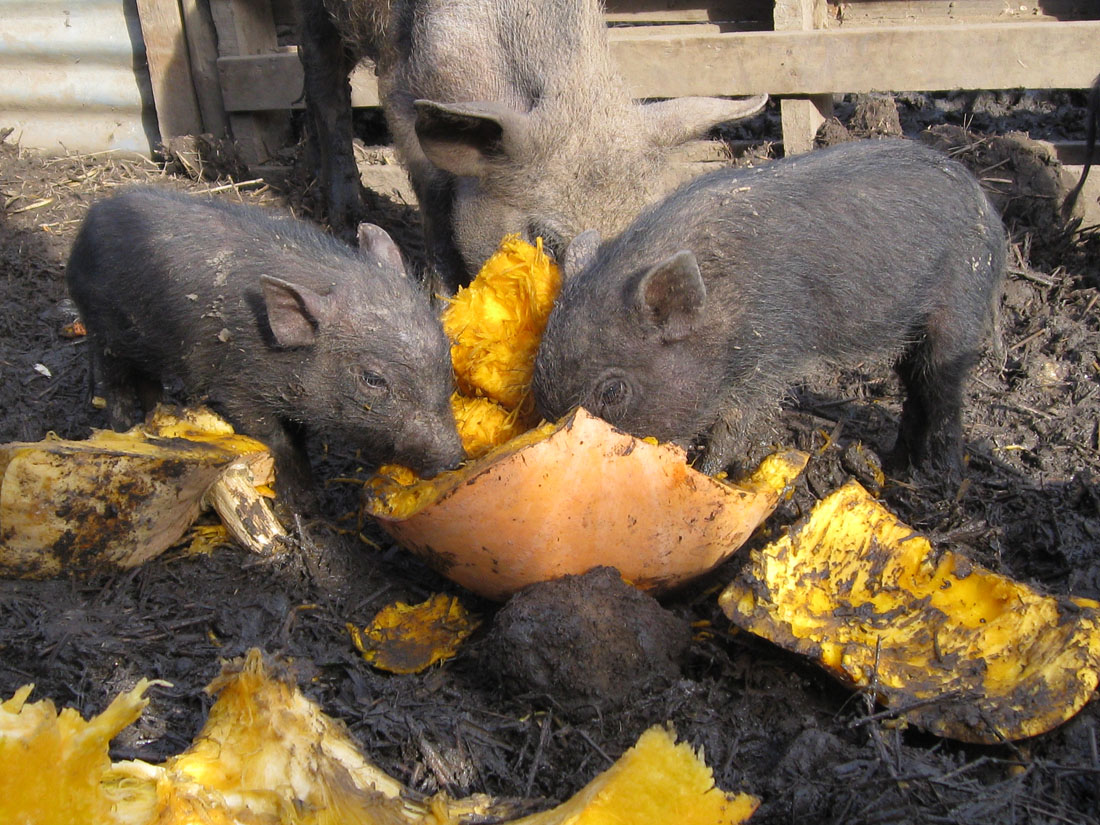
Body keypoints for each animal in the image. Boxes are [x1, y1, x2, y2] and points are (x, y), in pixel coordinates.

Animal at [65, 187, 464, 508]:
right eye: (373, 379)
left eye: (445, 351)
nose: (454, 458)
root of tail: (92, 216)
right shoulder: (235, 387)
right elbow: (277, 439)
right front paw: (303, 506)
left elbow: (298, 438)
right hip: (101, 328)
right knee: (113, 381)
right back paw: (124, 428)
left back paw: (157, 417)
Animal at [532, 139, 1006, 479]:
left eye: (612, 392)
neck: (722, 304)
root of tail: (988, 207)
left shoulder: (770, 353)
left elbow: (737, 423)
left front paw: (709, 473)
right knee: (914, 384)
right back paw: (896, 463)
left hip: (962, 303)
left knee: (943, 387)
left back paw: (940, 477)